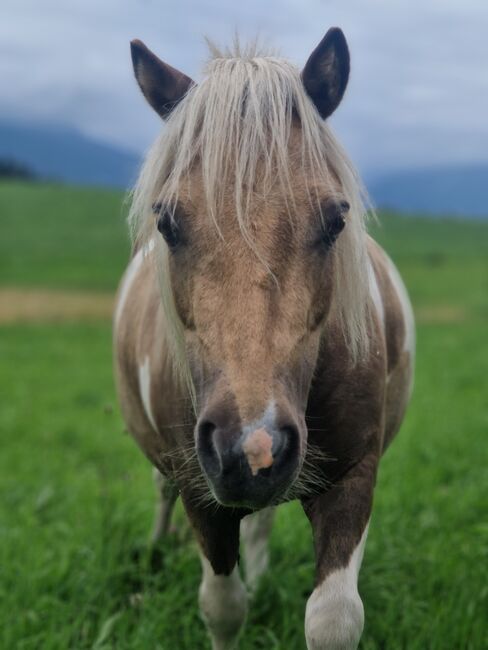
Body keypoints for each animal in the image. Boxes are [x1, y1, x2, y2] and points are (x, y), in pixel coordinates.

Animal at [114, 27, 416, 648]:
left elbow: (333, 619)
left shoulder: (353, 476)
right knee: (161, 493)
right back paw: (155, 549)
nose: (251, 448)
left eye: (335, 219)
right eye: (166, 222)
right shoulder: (200, 488)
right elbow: (223, 606)